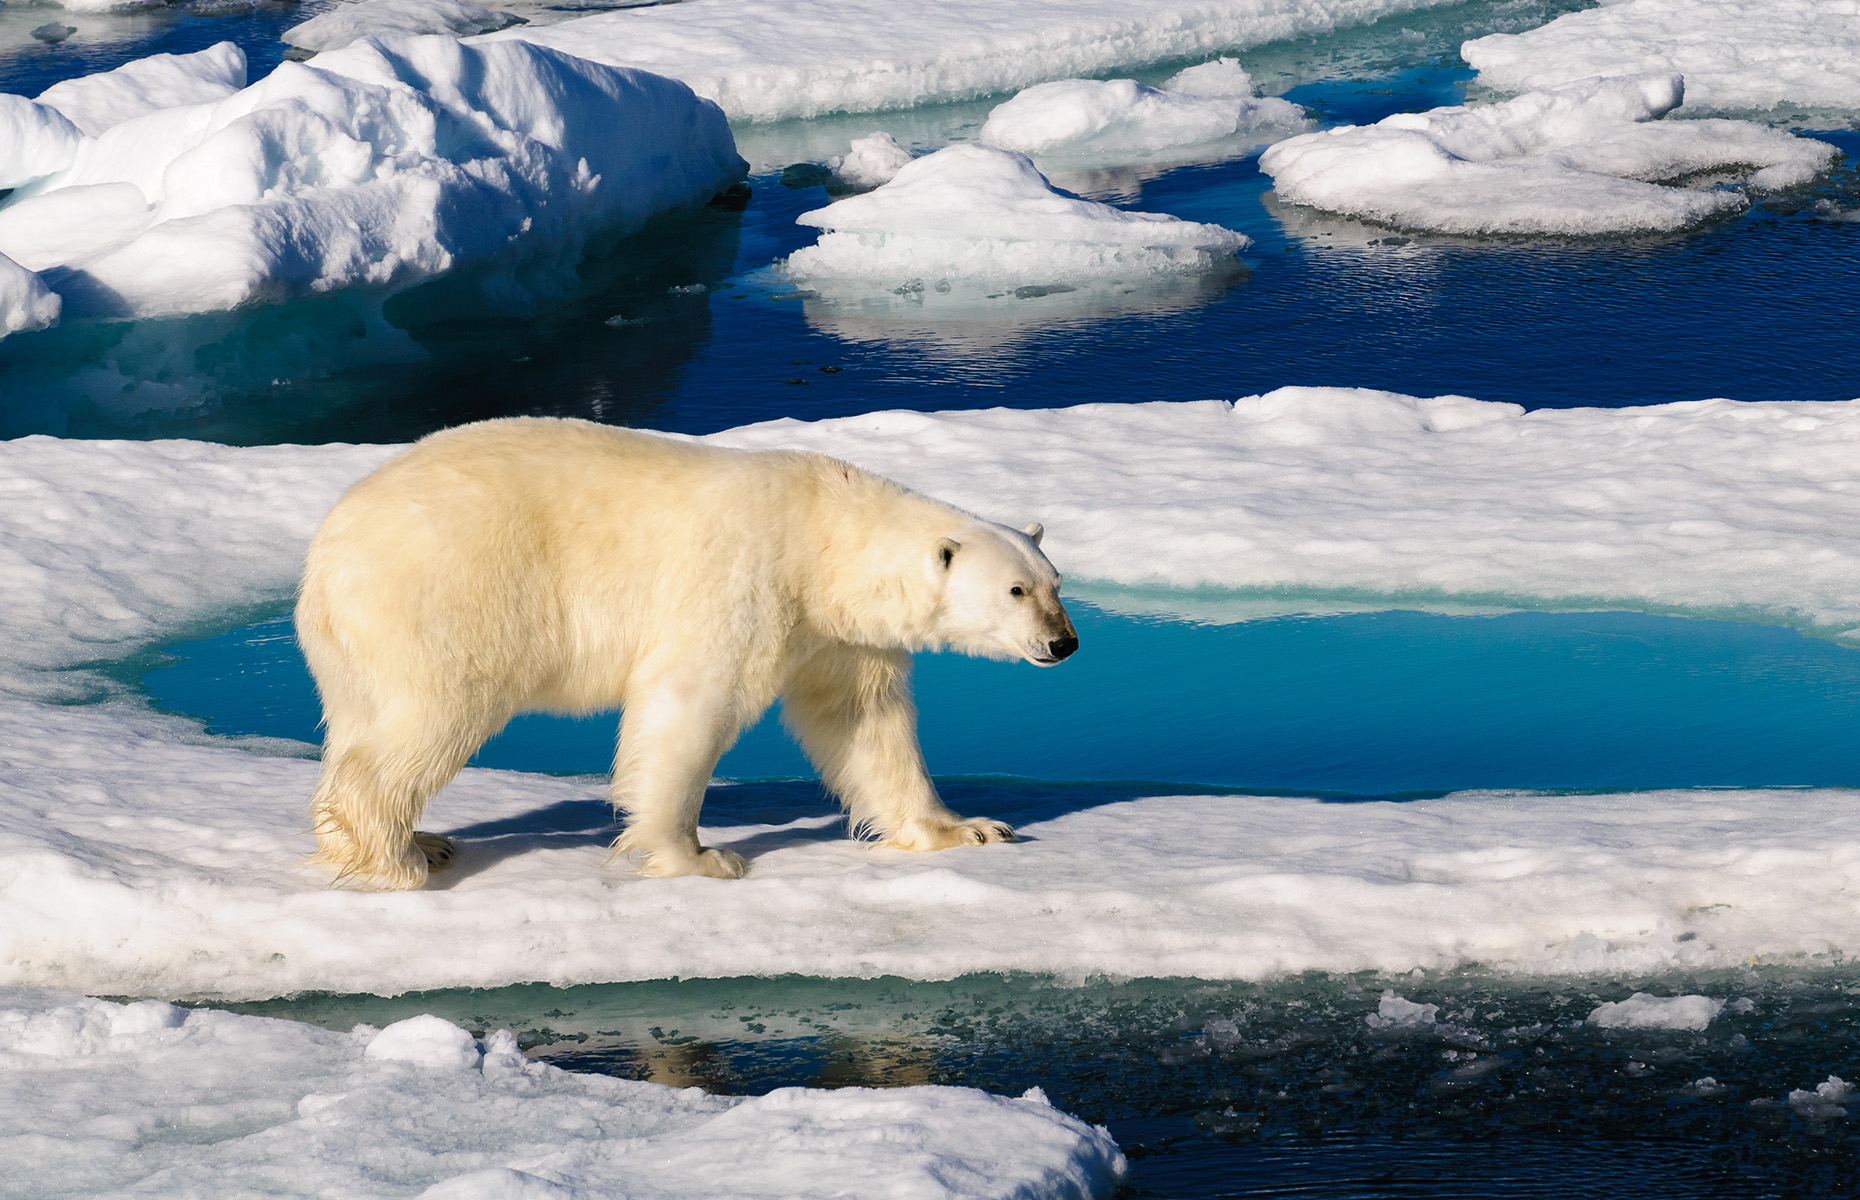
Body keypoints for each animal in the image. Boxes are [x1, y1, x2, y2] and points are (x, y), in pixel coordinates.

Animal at [299, 416, 1086, 885]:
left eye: (1056, 583)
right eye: (1015, 590)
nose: (1065, 641)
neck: (821, 534)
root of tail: (327, 550)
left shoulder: (837, 633)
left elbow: (865, 723)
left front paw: (968, 829)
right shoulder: (748, 578)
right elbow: (692, 702)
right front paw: (701, 857)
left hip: (353, 645)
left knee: (362, 718)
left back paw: (419, 840)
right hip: (446, 595)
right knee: (430, 714)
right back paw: (400, 856)